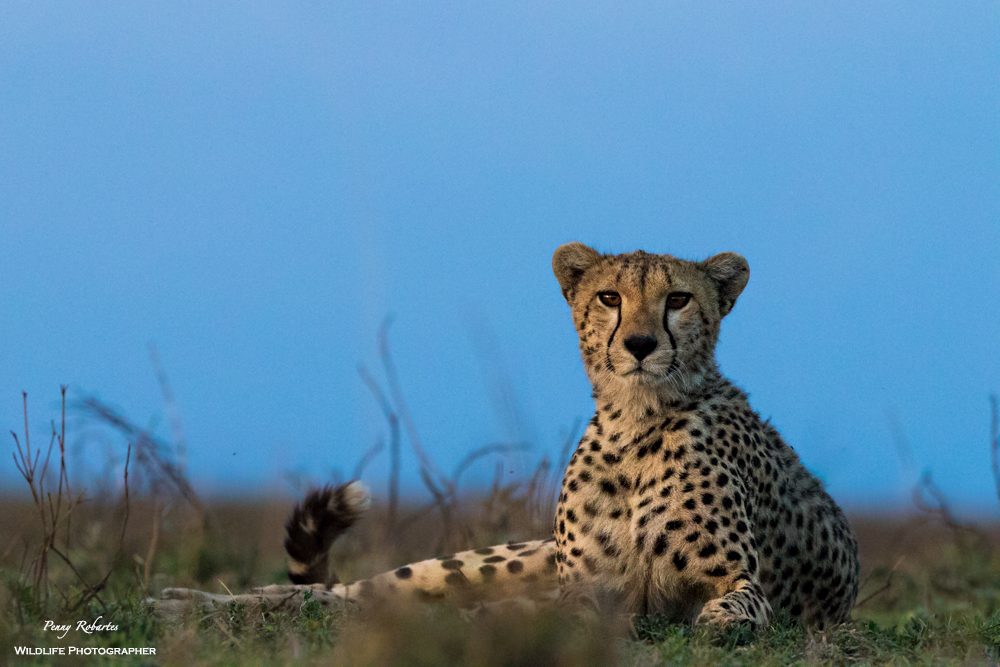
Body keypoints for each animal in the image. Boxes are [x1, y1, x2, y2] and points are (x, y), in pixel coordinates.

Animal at [161, 242, 859, 630]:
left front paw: (722, 621)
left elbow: (740, 605)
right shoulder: (586, 587)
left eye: (679, 300)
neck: (635, 423)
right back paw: (188, 602)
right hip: (498, 560)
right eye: (609, 297)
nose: (640, 344)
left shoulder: (727, 581)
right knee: (351, 591)